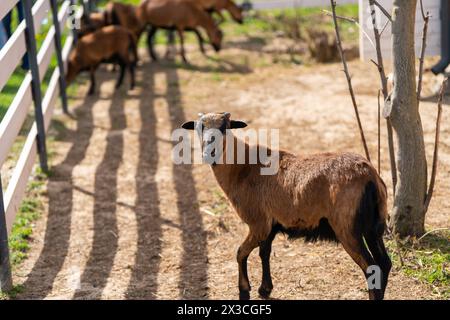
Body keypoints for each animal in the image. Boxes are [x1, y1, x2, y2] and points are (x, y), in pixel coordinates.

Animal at [181, 112, 392, 300]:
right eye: (200, 127)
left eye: (225, 126)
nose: (209, 153)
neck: (241, 169)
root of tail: (369, 176)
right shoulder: (271, 225)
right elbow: (264, 253)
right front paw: (265, 289)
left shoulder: (258, 223)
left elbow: (240, 253)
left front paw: (244, 290)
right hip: (375, 226)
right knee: (384, 263)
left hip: (347, 228)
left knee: (371, 268)